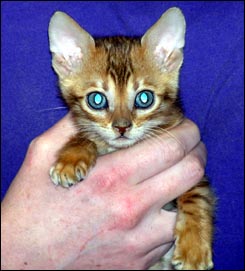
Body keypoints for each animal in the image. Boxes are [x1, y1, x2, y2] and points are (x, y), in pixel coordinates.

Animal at [47, 7, 214, 270]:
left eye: (144, 98)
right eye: (97, 99)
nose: (122, 127)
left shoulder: (194, 167)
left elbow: (197, 196)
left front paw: (194, 246)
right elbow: (86, 136)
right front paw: (70, 160)